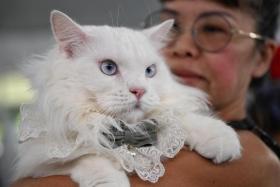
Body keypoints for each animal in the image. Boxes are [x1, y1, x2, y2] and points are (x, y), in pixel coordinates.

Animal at [13, 10, 241, 187]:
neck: (128, 133)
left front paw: (222, 141)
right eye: (108, 68)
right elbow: (88, 157)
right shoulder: (38, 162)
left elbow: (180, 120)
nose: (139, 90)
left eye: (150, 71)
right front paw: (110, 181)